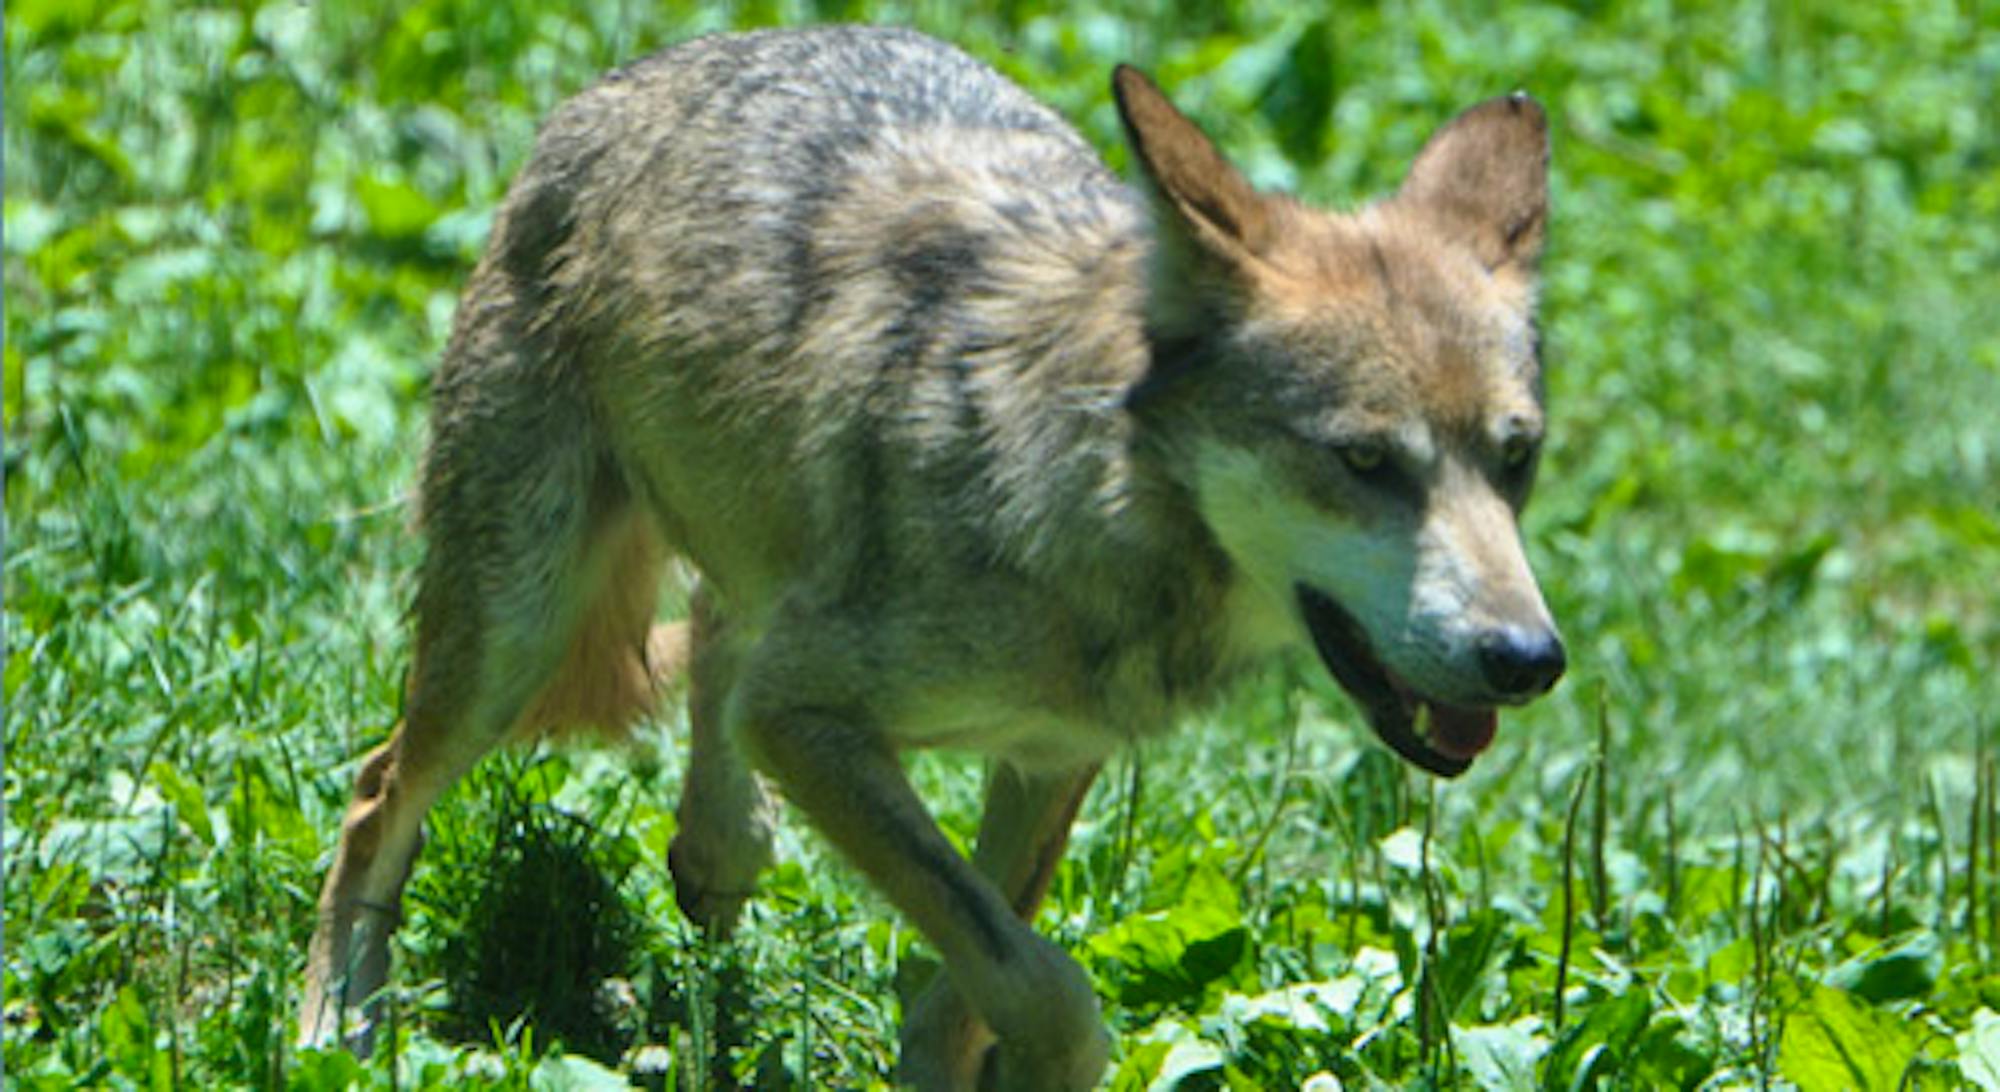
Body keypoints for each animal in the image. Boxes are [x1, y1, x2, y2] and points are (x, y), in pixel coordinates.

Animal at [300, 25, 1560, 1088]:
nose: (1528, 660)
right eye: (1362, 461)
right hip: (513, 640)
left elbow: (974, 984)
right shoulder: (808, 721)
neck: (1081, 497)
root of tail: (626, 81)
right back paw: (332, 1030)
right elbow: (1046, 992)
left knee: (713, 648)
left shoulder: (1049, 759)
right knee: (374, 792)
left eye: (1516, 459)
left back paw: (713, 848)